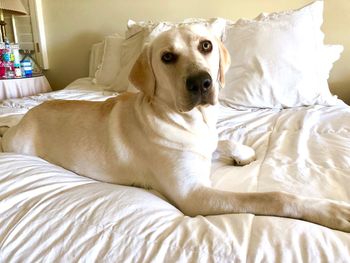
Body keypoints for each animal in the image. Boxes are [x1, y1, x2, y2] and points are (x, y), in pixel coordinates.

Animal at [1, 25, 348, 233]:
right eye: (167, 57)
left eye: (206, 45)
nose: (201, 82)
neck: (189, 121)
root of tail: (28, 115)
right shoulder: (195, 195)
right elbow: (273, 196)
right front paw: (332, 210)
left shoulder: (206, 143)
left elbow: (221, 140)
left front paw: (243, 151)